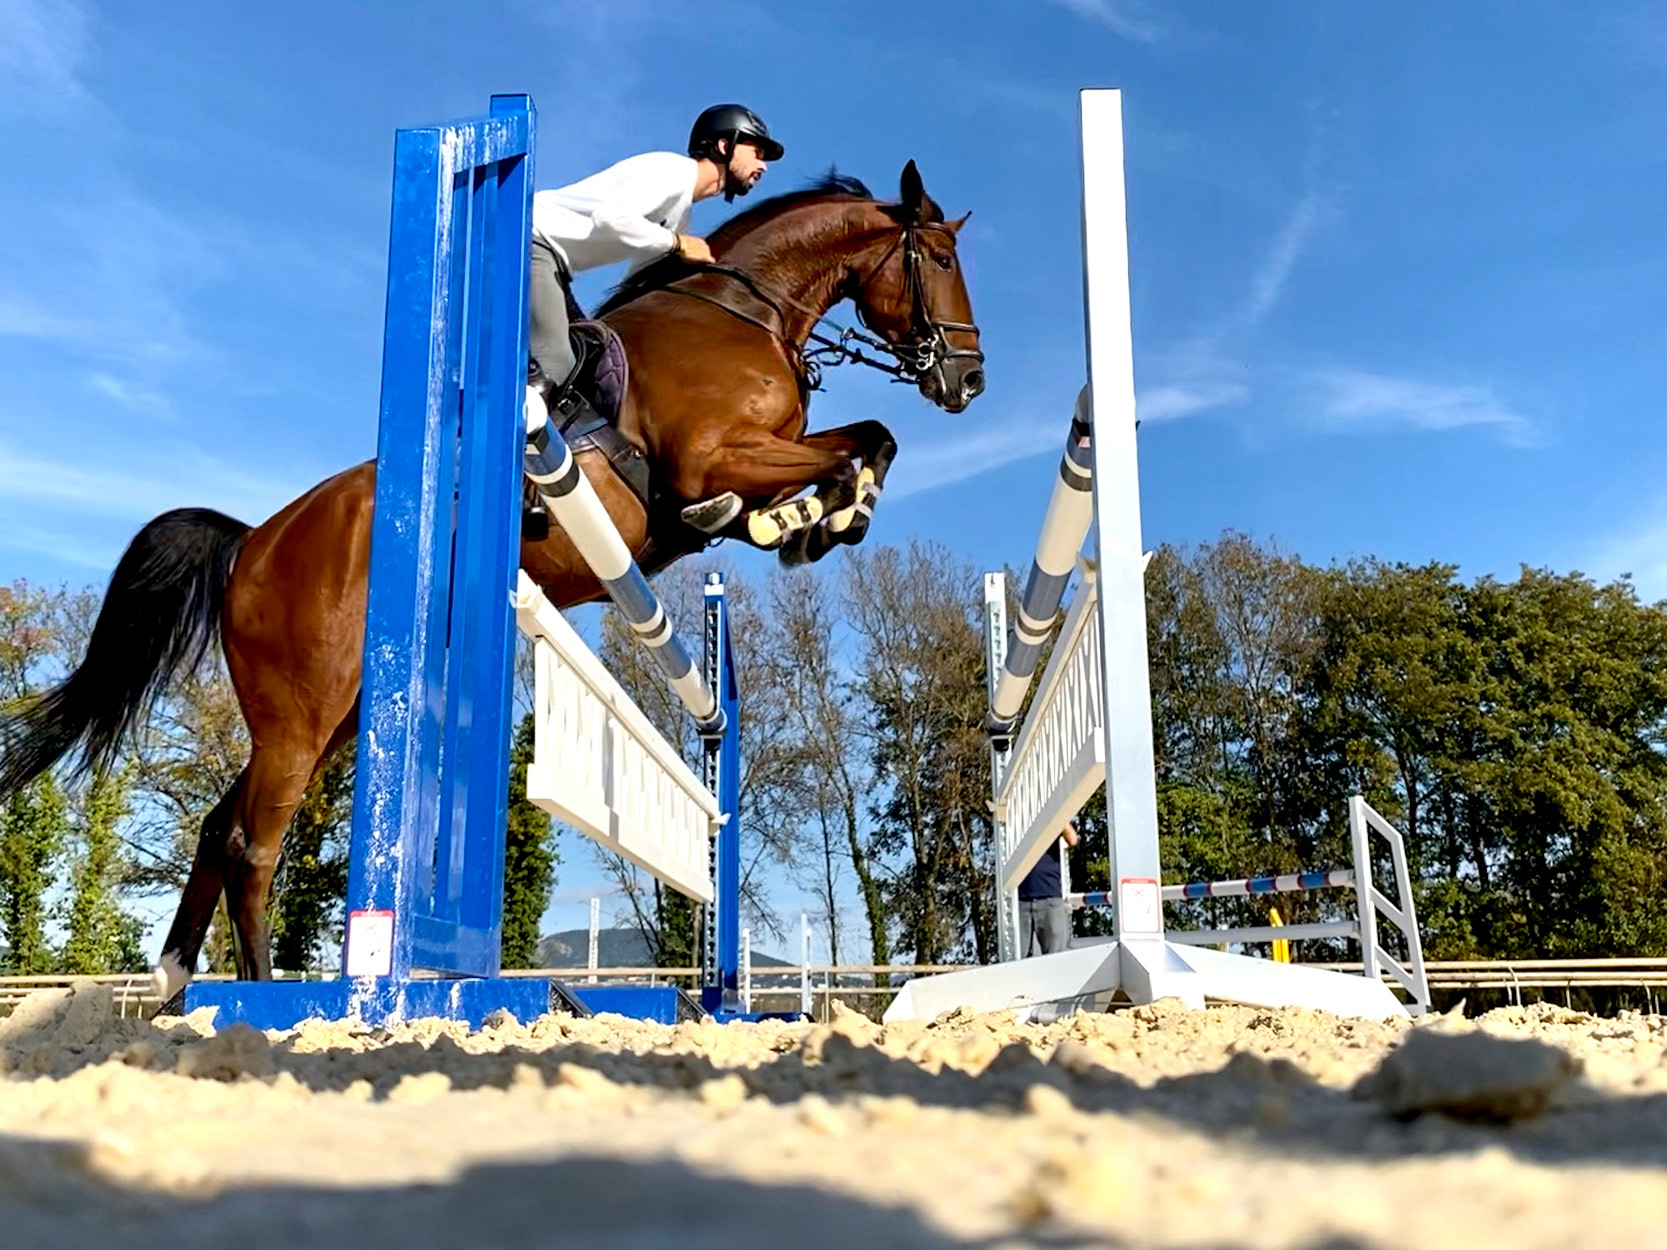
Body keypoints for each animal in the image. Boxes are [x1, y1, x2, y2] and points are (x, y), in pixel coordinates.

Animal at [0, 161, 973, 1000]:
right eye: (940, 258)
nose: (968, 378)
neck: (742, 313)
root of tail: (256, 542)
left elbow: (867, 440)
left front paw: (820, 520)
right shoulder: (710, 460)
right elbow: (846, 448)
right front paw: (814, 519)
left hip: (336, 712)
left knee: (218, 828)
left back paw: (174, 988)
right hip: (302, 708)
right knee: (252, 844)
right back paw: (266, 996)